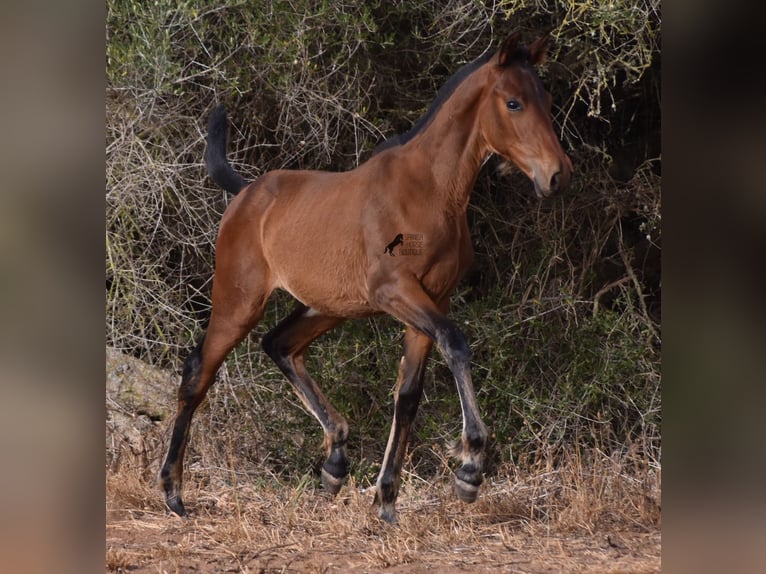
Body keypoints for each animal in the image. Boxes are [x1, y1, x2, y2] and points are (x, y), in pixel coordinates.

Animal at [160, 31, 568, 528]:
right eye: (513, 103)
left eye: (547, 100)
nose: (557, 174)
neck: (432, 191)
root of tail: (245, 194)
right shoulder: (397, 293)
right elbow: (456, 344)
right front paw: (470, 468)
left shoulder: (431, 302)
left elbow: (407, 395)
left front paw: (387, 500)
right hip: (238, 303)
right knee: (198, 373)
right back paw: (173, 493)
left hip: (325, 308)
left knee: (279, 344)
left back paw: (335, 463)